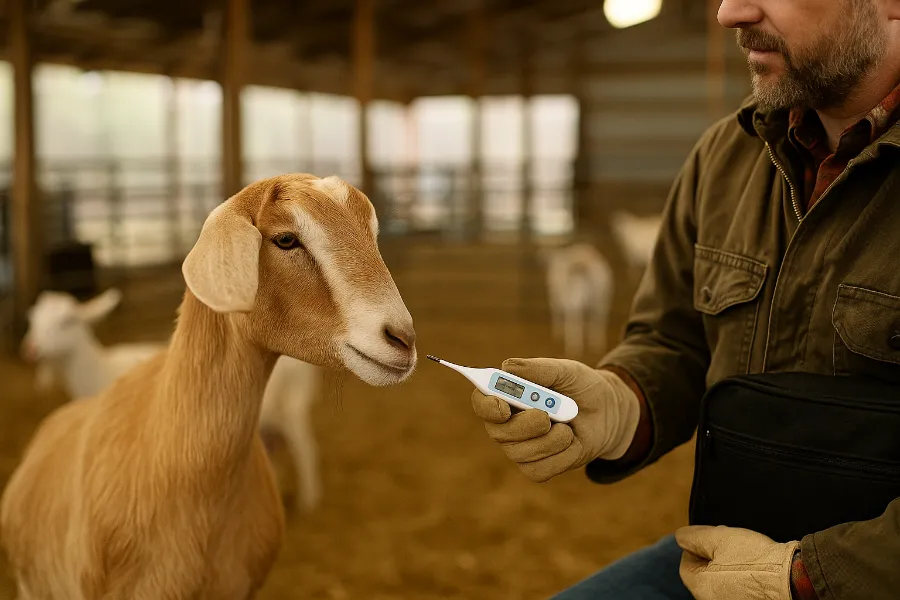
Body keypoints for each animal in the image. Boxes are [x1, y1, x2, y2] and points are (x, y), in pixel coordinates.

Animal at [20, 287, 325, 512]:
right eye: (32, 320)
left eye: (68, 320)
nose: (31, 348)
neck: (99, 370)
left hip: (295, 406)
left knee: (307, 450)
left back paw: (309, 502)